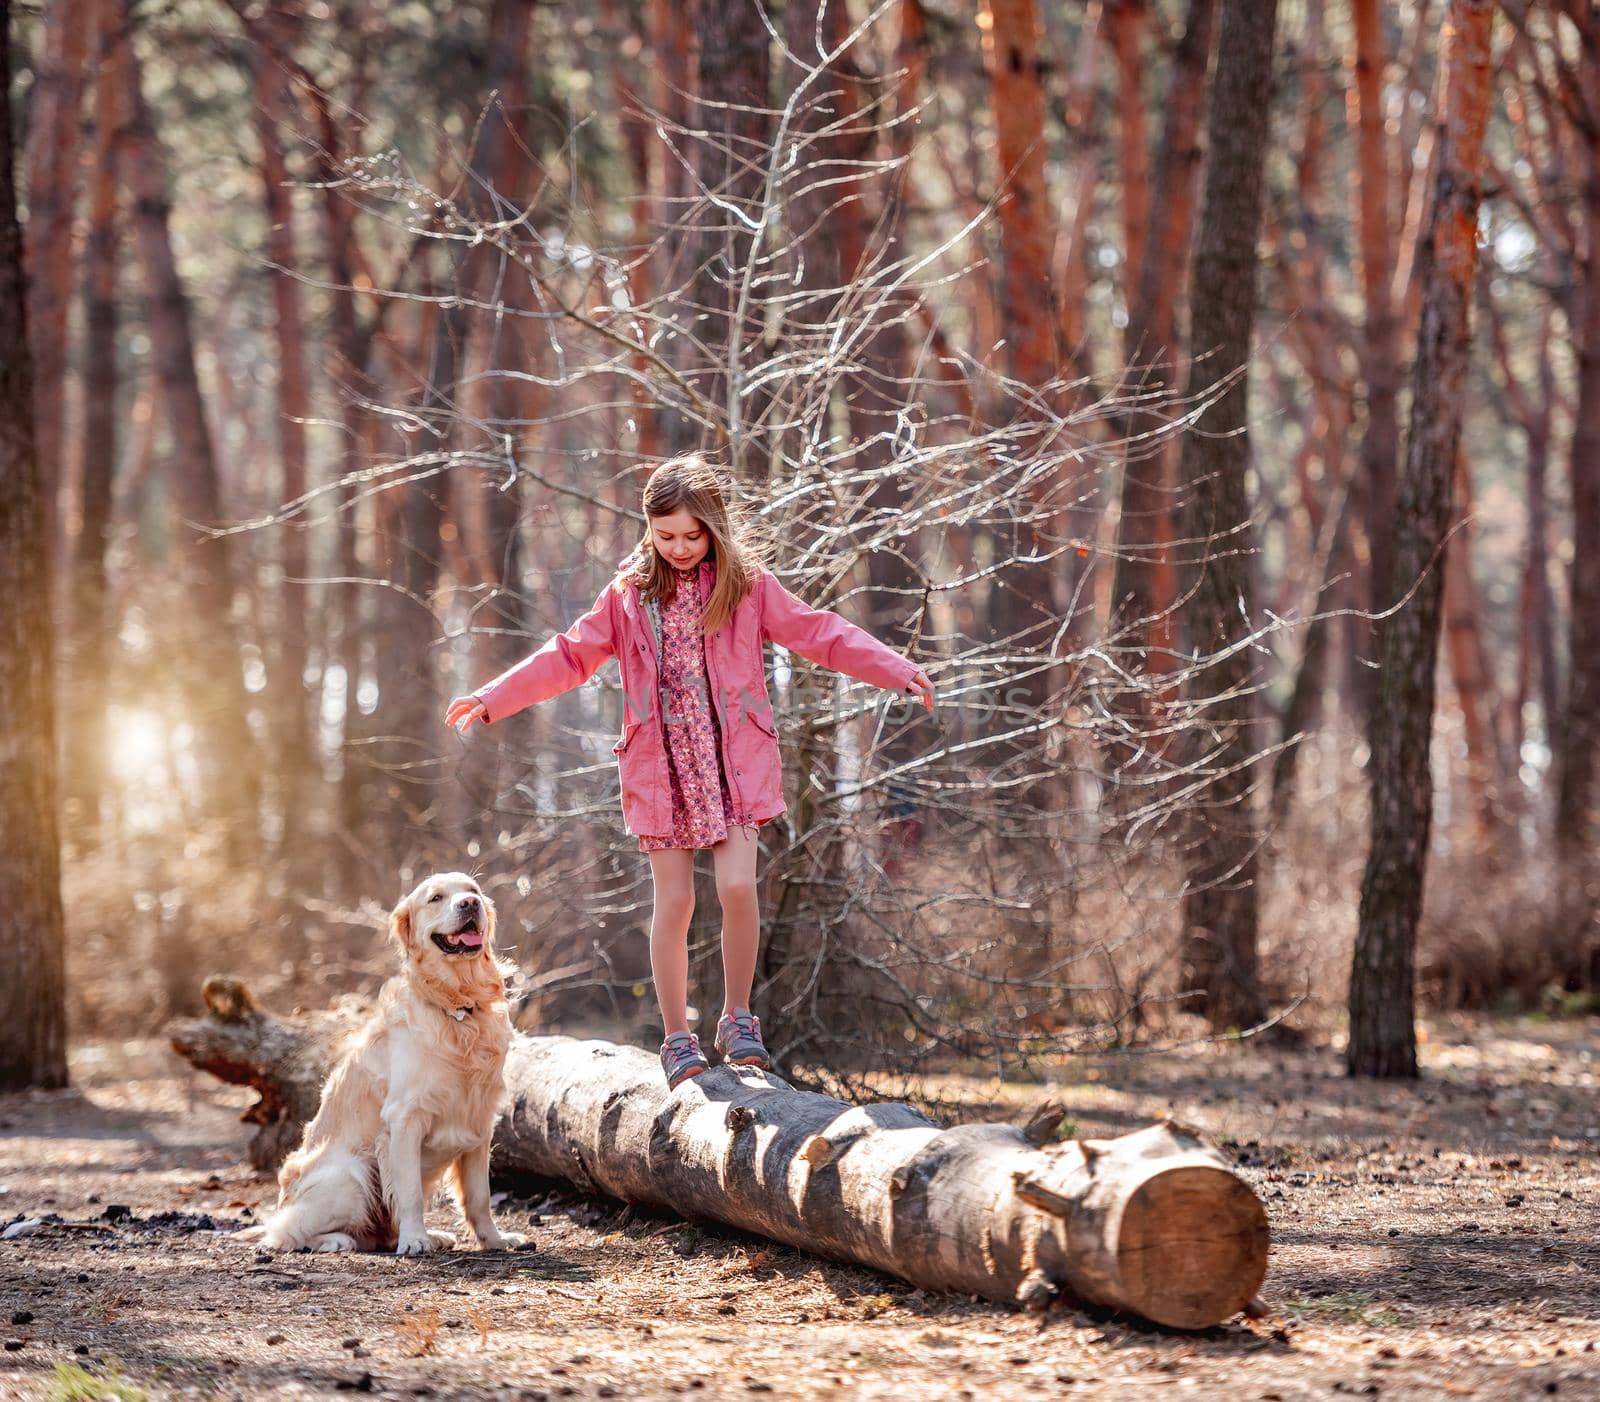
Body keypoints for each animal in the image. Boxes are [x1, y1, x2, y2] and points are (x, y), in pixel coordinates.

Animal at [252, 870, 521, 1254]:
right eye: (436, 898)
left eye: (473, 891)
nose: (470, 904)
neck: (457, 1008)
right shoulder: (404, 1118)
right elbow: (409, 1194)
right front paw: (414, 1241)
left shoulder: (479, 1122)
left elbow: (479, 1197)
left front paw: (495, 1240)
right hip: (352, 1173)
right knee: (284, 1232)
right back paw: (338, 1239)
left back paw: (432, 1235)